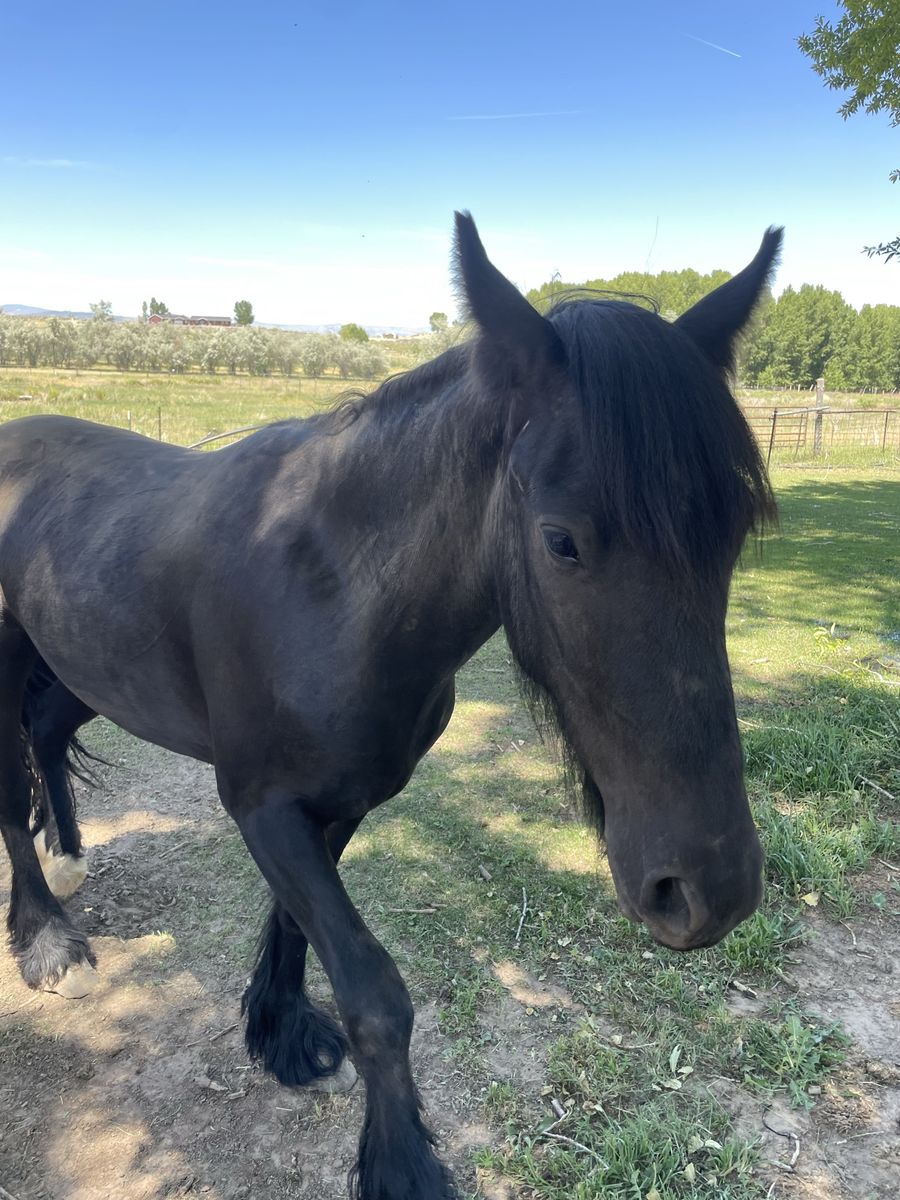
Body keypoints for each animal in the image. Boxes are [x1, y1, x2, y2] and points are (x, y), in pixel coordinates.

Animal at [0, 213, 780, 1199]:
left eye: (736, 532)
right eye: (561, 541)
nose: (713, 890)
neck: (334, 587)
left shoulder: (339, 802)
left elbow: (298, 927)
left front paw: (281, 1031)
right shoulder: (262, 806)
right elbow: (374, 993)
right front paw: (402, 1161)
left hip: (80, 665)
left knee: (44, 735)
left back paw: (69, 858)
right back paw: (47, 941)